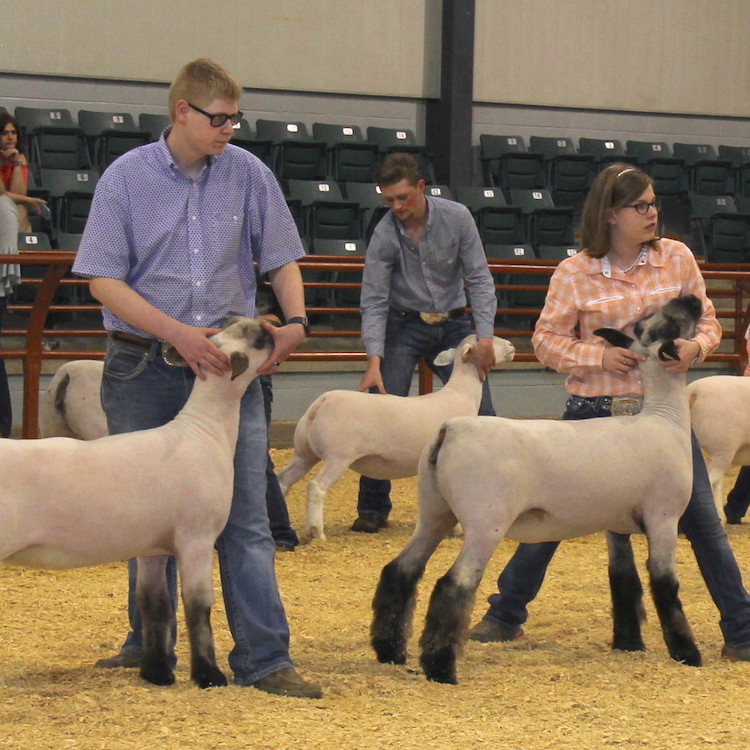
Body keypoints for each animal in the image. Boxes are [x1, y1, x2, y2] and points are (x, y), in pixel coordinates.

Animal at [0, 314, 274, 692]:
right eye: (257, 338)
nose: (274, 331)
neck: (204, 432)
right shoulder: (197, 538)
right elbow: (198, 607)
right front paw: (209, 676)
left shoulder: (152, 547)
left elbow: (155, 606)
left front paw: (156, 673)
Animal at [276, 338, 516, 544]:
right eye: (489, 340)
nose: (512, 345)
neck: (461, 393)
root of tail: (321, 402)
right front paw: (457, 529)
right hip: (338, 455)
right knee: (316, 487)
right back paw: (316, 532)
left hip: (304, 453)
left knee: (283, 481)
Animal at [374, 296, 708, 684]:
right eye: (669, 324)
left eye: (647, 323)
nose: (694, 299)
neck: (664, 418)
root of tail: (449, 428)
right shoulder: (664, 517)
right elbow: (665, 583)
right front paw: (687, 653)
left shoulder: (616, 524)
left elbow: (623, 580)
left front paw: (629, 643)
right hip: (485, 522)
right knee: (453, 584)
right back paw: (441, 669)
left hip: (434, 512)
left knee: (400, 570)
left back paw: (390, 651)